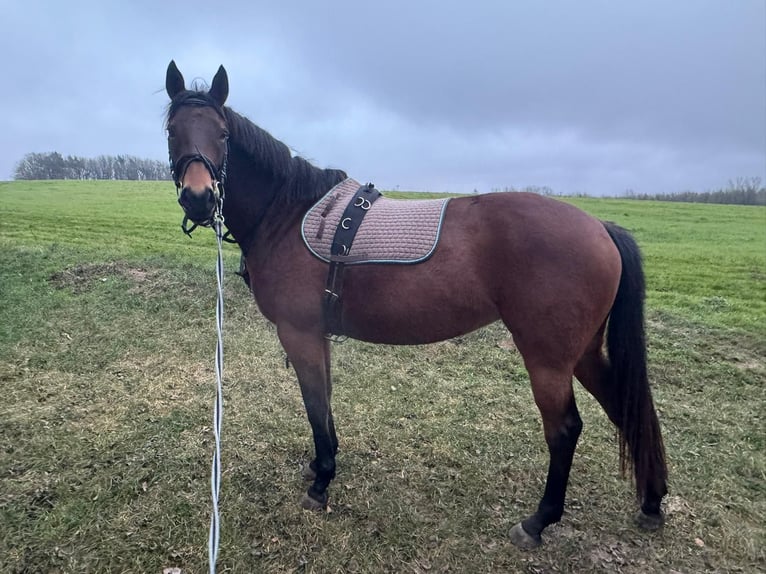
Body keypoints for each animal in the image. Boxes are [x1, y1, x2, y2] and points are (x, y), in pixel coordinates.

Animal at [164, 60, 667, 548]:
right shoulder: (317, 335)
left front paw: (321, 482)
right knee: (624, 405)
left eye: (222, 133)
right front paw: (323, 464)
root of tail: (600, 227)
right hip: (581, 354)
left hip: (548, 359)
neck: (287, 215)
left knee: (564, 431)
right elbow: (324, 400)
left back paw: (538, 522)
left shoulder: (299, 333)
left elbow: (314, 403)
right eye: (172, 130)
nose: (199, 197)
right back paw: (652, 501)